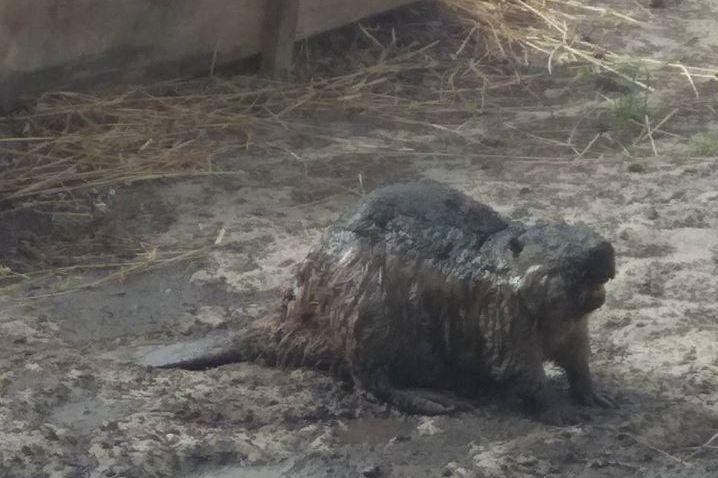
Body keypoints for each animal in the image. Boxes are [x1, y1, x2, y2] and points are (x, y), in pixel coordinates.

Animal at [139, 181, 620, 416]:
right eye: (557, 245)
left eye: (580, 230)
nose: (603, 249)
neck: (489, 262)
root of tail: (282, 324)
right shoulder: (501, 314)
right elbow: (518, 368)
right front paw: (564, 413)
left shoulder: (569, 325)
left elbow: (577, 357)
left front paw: (599, 397)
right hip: (368, 312)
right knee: (371, 378)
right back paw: (438, 400)